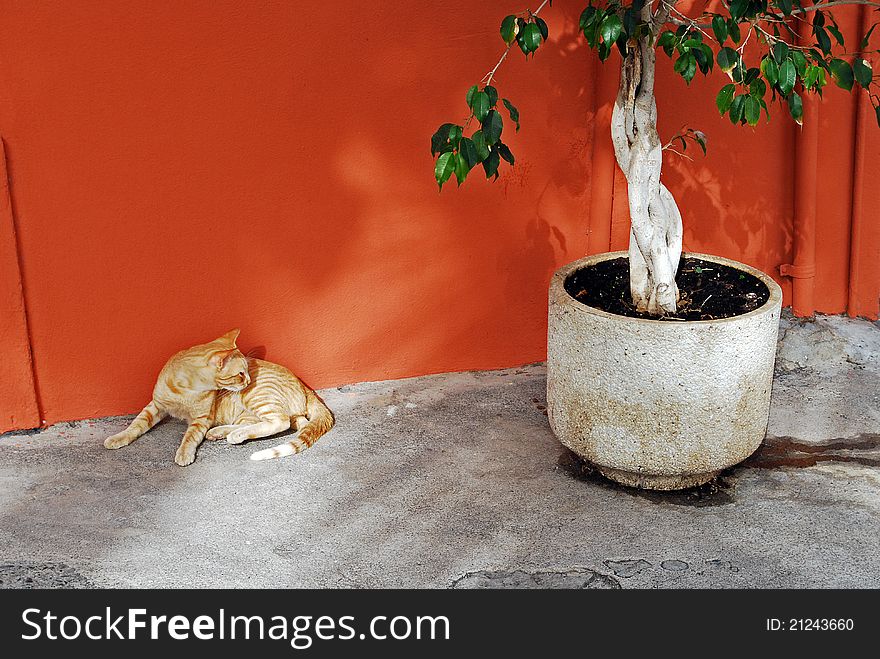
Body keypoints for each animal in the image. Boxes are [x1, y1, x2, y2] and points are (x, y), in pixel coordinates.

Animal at [102, 328, 334, 464]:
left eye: (247, 371)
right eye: (241, 373)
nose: (248, 381)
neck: (184, 389)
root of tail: (305, 387)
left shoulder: (201, 419)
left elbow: (190, 437)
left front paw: (184, 453)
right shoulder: (155, 406)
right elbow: (136, 425)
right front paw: (118, 438)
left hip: (256, 397)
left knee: (280, 421)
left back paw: (232, 435)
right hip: (250, 410)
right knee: (297, 423)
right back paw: (221, 432)